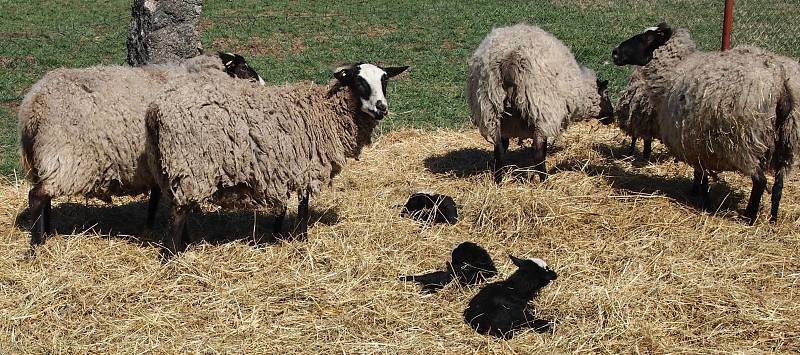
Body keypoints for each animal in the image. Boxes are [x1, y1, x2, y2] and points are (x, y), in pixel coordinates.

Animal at [19, 52, 266, 250]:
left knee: (45, 197)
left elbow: (157, 198)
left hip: (44, 159)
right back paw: (37, 244)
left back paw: (47, 231)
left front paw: (149, 226)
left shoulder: (159, 164)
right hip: (67, 158)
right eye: (244, 68)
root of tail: (33, 104)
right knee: (37, 196)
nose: (263, 85)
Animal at [145, 62, 410, 256]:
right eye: (358, 80)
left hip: (169, 168)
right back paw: (172, 255)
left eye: (385, 80)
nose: (381, 107)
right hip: (191, 166)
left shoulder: (282, 168)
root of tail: (156, 110)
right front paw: (302, 239)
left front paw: (276, 233)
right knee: (178, 213)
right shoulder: (305, 166)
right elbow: (302, 207)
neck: (326, 111)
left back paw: (185, 243)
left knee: (177, 206)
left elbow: (283, 205)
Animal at [466, 23, 616, 184]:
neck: (580, 89)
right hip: (541, 110)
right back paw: (545, 181)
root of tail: (510, 58)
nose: (612, 117)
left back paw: (498, 182)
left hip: (490, 108)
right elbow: (542, 150)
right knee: (537, 152)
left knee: (499, 150)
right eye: (606, 93)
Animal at [612, 23, 800, 225]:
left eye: (647, 38)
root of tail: (781, 82)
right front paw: (697, 193)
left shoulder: (694, 142)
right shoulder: (698, 142)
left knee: (760, 181)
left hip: (745, 142)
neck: (675, 70)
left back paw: (749, 217)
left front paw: (702, 198)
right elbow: (699, 172)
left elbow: (701, 174)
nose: (615, 53)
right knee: (779, 184)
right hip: (788, 141)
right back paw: (773, 218)